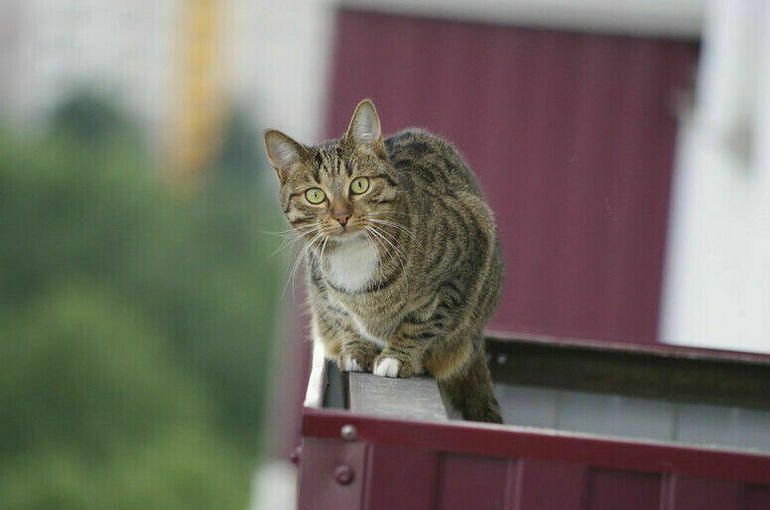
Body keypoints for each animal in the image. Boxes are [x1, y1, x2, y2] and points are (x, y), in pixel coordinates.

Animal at [264, 98, 504, 422]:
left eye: (359, 185)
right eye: (315, 195)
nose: (342, 216)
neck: (354, 256)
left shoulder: (460, 269)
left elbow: (421, 322)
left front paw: (396, 357)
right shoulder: (321, 285)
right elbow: (344, 317)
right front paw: (357, 349)